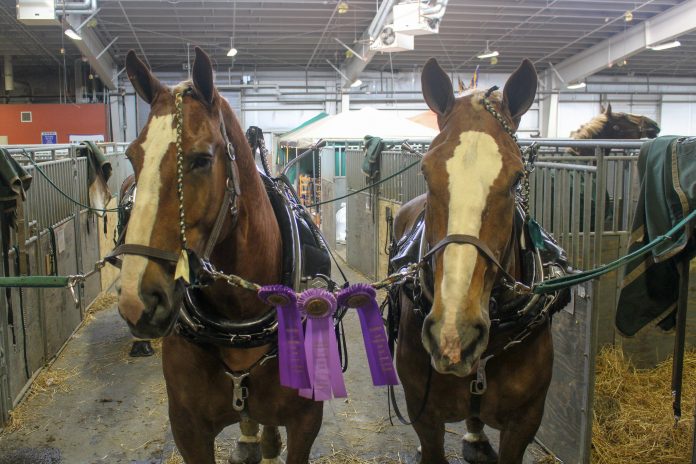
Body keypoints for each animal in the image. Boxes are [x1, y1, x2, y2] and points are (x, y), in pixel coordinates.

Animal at [114, 47, 323, 464]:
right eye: (132, 157)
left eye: (200, 159)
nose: (136, 300)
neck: (239, 316)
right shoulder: (188, 429)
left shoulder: (307, 423)